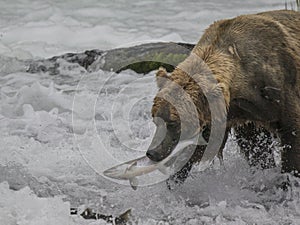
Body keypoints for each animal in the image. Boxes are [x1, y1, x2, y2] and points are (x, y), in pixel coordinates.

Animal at [145, 9, 300, 185]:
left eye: (173, 123)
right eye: (155, 119)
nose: (153, 152)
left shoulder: (281, 89)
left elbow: (292, 137)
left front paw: (288, 178)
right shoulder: (225, 113)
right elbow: (203, 147)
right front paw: (175, 177)